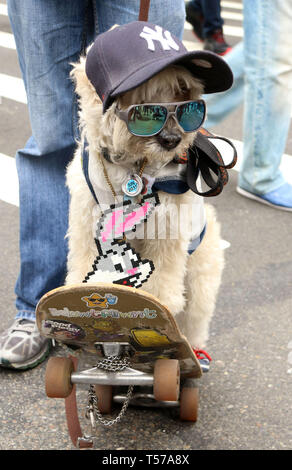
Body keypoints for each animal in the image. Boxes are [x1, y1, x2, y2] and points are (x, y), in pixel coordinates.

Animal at [64, 23, 233, 352]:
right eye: (142, 105)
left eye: (183, 92)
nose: (172, 140)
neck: (133, 168)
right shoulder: (86, 221)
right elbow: (84, 266)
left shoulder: (167, 232)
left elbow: (160, 289)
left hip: (200, 279)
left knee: (194, 321)